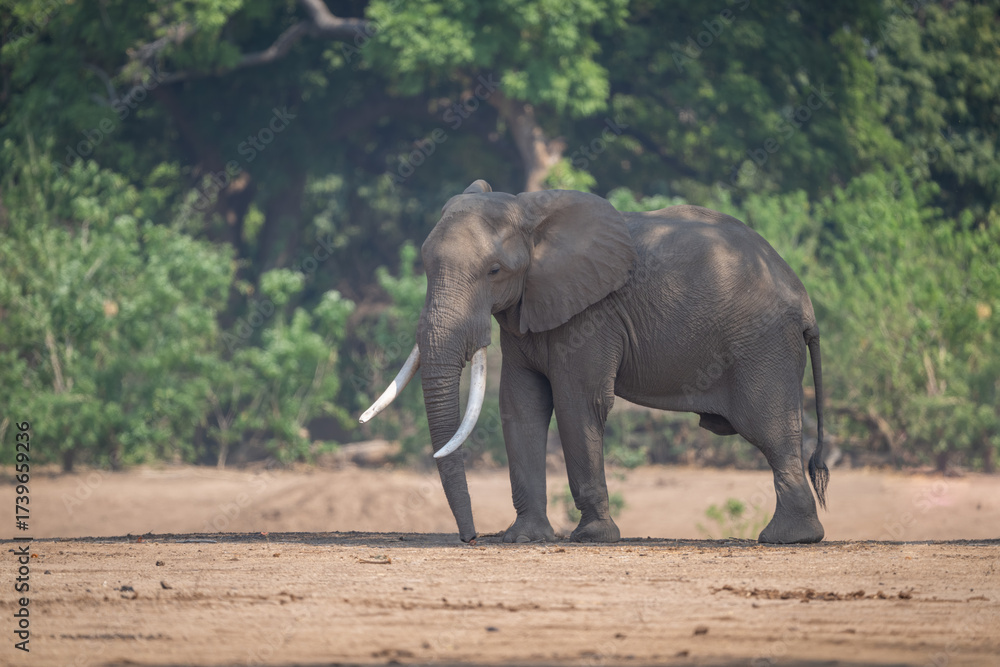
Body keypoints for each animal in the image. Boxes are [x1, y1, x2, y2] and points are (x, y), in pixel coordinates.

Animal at [361, 179, 828, 545]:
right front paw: (524, 538)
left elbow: (577, 402)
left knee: (769, 429)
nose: (471, 538)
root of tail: (805, 302)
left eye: (494, 271)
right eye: (424, 264)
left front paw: (591, 537)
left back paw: (785, 538)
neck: (528, 211)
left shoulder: (593, 314)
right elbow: (520, 405)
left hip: (763, 345)